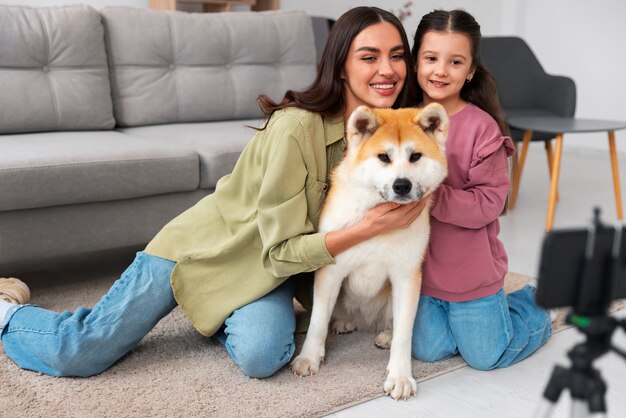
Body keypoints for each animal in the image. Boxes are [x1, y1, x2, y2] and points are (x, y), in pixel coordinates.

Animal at [290, 103, 446, 400]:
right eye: (384, 157)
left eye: (415, 156)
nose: (402, 185)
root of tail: (364, 321)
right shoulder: (331, 271)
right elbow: (317, 322)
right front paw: (309, 358)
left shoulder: (406, 277)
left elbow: (404, 333)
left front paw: (400, 376)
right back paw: (343, 323)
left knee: (394, 324)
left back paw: (385, 335)